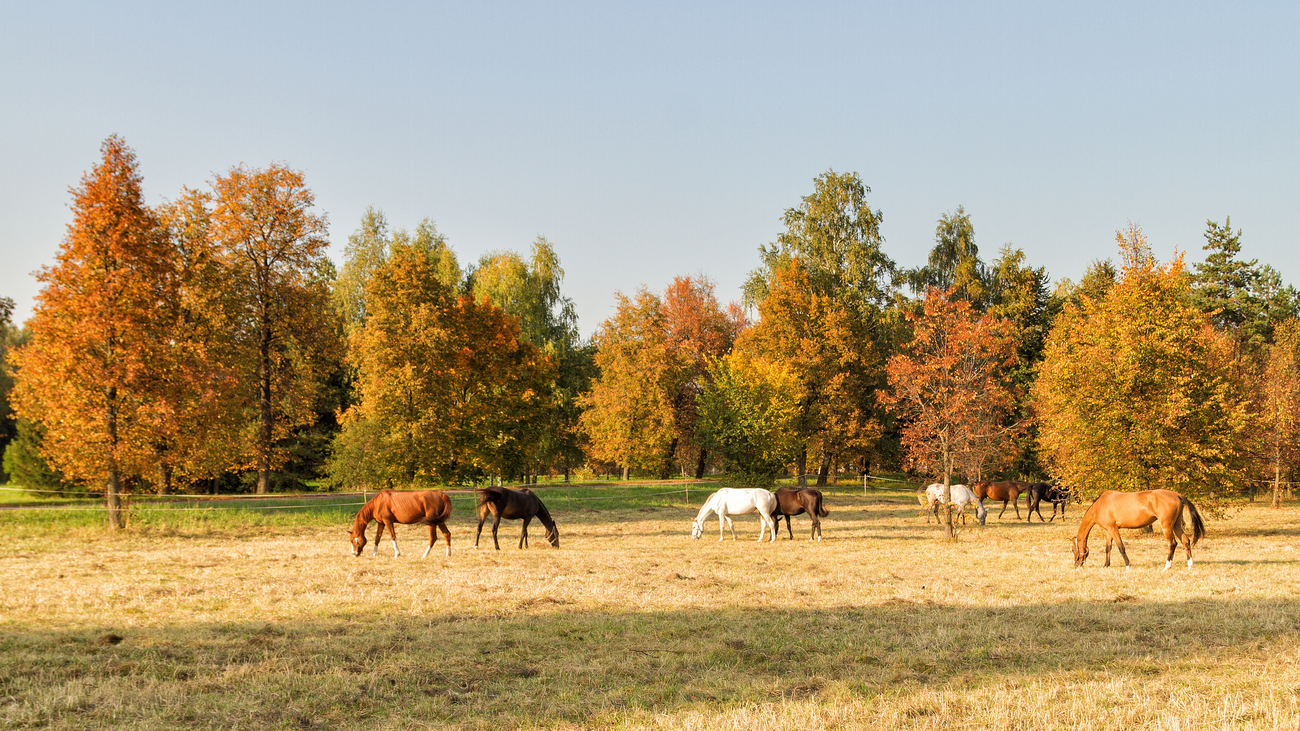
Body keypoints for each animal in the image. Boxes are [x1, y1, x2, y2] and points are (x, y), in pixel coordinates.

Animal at [1071, 489, 1201, 569]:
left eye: (1073, 550)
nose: (1076, 565)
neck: (1100, 505)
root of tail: (1177, 495)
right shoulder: (1108, 530)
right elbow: (1108, 548)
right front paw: (1106, 565)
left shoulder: (1114, 529)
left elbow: (1121, 547)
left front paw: (1128, 565)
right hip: (1176, 525)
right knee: (1186, 541)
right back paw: (1190, 565)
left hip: (1167, 526)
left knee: (1172, 544)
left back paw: (1167, 566)